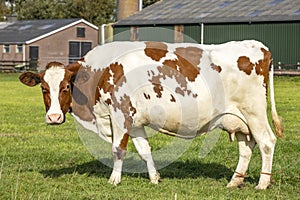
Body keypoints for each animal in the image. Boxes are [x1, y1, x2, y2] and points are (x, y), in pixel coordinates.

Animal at [19, 40, 284, 189]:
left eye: (66, 87)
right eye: (44, 88)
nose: (53, 117)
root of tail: (258, 46)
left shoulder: (120, 114)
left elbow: (118, 149)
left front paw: (114, 180)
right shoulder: (136, 122)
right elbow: (144, 150)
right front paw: (155, 178)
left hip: (254, 113)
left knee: (267, 143)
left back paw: (262, 183)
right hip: (238, 119)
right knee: (246, 147)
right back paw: (234, 181)